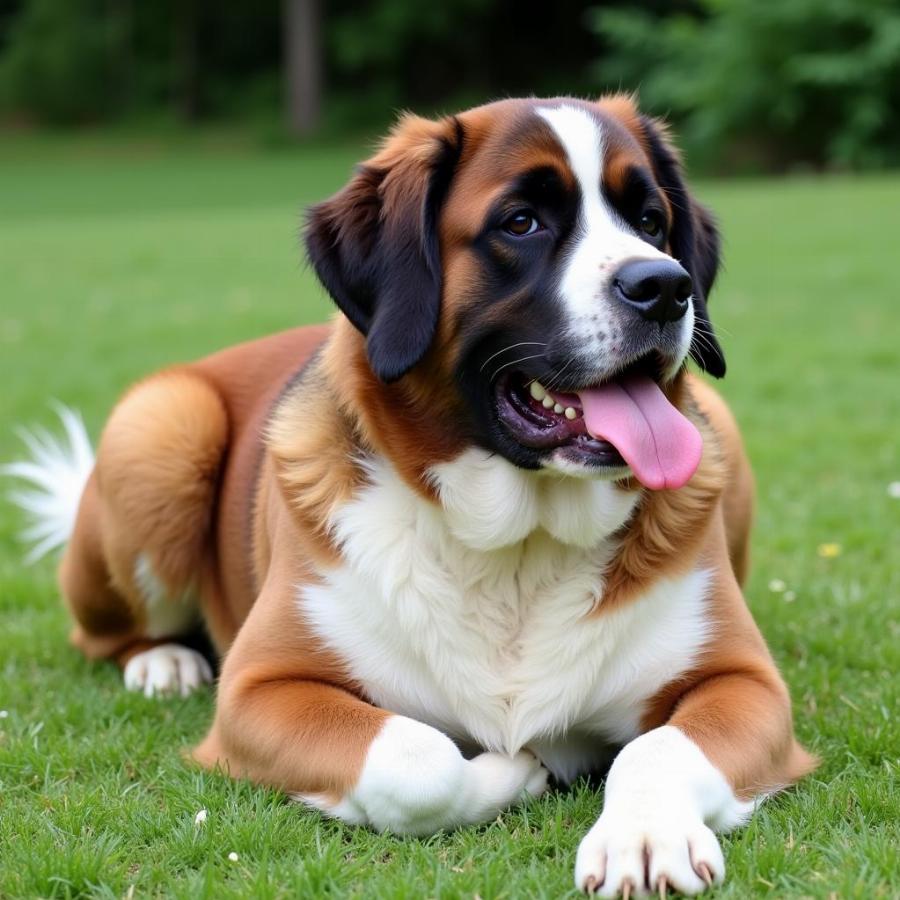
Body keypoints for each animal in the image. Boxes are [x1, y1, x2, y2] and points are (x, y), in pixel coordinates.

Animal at [7, 95, 820, 896]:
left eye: (651, 220)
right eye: (520, 223)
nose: (664, 285)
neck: (518, 544)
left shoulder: (744, 684)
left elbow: (658, 746)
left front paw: (644, 835)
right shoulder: (260, 690)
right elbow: (418, 759)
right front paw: (512, 770)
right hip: (163, 422)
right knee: (105, 634)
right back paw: (163, 662)